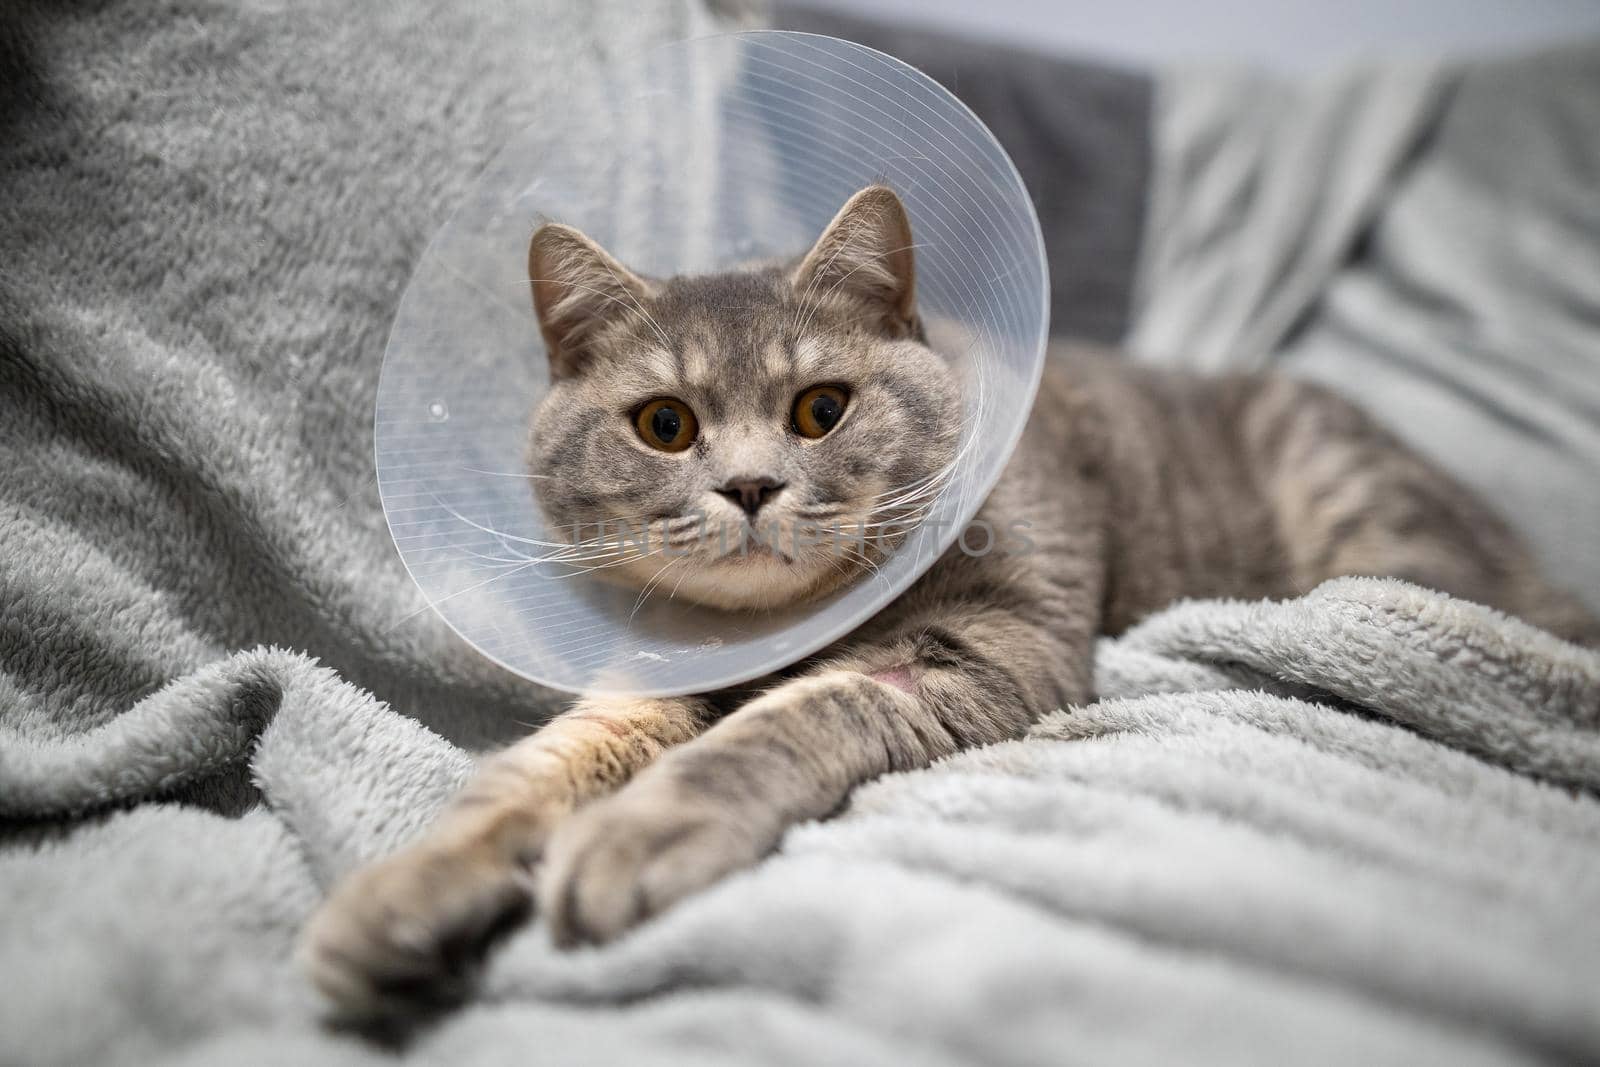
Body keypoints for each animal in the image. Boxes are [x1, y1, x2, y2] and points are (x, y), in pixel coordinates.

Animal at [302, 187, 1600, 1023]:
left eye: (820, 408)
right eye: (663, 423)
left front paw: (639, 834)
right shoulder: (647, 680)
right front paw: (403, 894)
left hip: (1365, 519)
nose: (749, 486)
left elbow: (786, 720)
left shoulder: (985, 646)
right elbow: (536, 769)